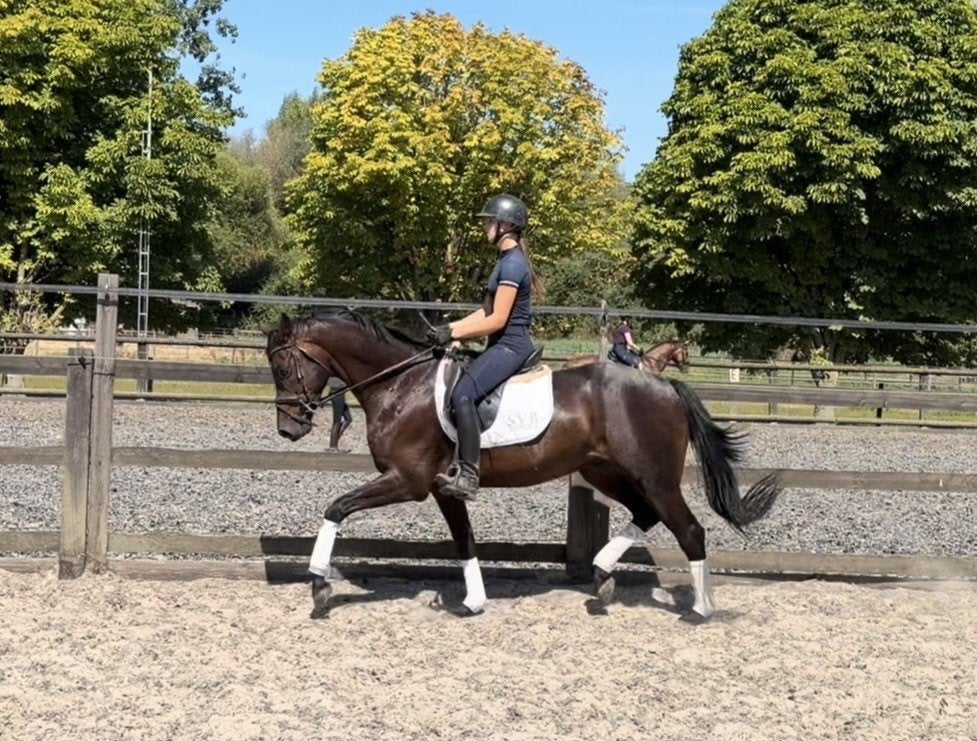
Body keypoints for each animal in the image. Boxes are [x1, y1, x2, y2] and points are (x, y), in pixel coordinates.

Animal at [265, 311, 780, 621]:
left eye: (284, 369)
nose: (288, 429)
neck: (401, 386)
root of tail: (664, 386)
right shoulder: (442, 486)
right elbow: (464, 540)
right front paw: (473, 600)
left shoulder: (406, 481)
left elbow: (336, 507)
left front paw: (319, 584)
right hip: (607, 471)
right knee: (647, 516)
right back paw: (602, 577)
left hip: (653, 476)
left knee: (689, 530)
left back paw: (701, 608)